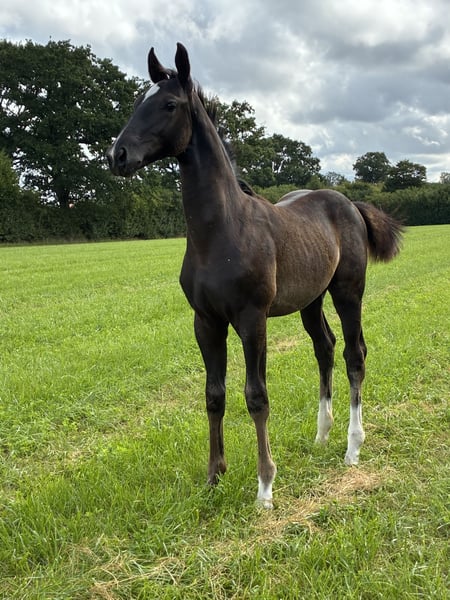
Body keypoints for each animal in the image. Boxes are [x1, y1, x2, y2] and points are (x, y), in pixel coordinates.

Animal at [107, 43, 403, 508]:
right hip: (310, 300)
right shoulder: (206, 322)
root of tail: (350, 203)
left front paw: (265, 486)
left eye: (169, 105)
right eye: (139, 102)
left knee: (354, 354)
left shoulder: (251, 319)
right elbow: (214, 395)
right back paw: (322, 434)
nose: (117, 156)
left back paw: (352, 446)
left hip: (348, 292)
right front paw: (214, 476)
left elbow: (256, 396)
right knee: (324, 348)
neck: (221, 231)